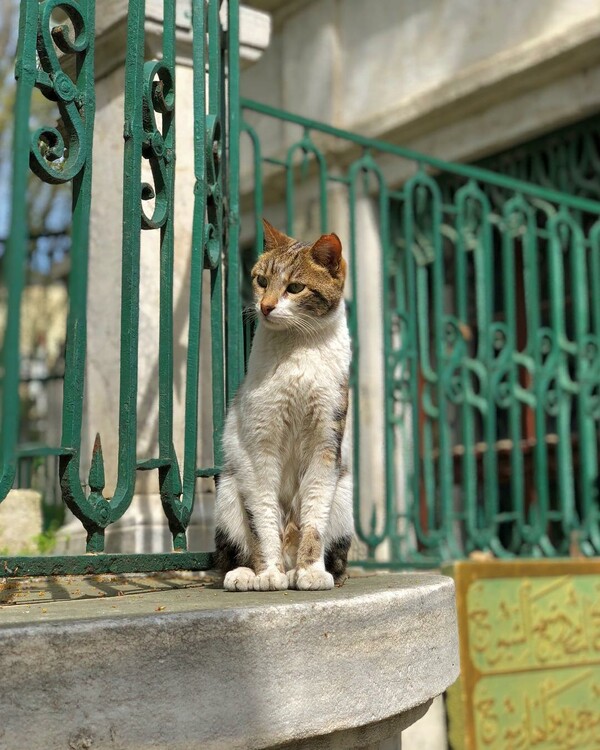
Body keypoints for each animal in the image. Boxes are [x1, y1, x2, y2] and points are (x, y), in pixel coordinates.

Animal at [214, 220, 352, 592]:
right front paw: (268, 574)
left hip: (344, 495)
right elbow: (262, 518)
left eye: (295, 287)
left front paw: (311, 572)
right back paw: (247, 573)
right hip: (228, 491)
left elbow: (315, 516)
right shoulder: (258, 445)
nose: (265, 306)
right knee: (237, 547)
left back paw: (297, 570)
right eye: (262, 280)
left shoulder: (326, 441)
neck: (297, 346)